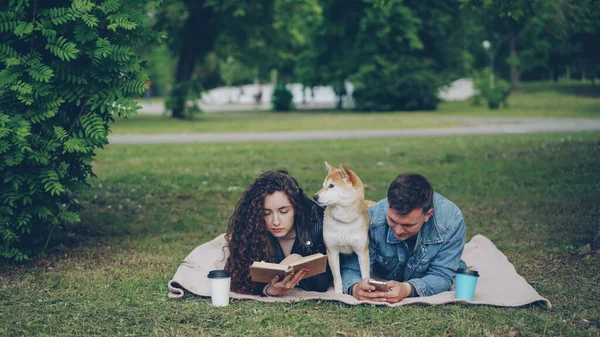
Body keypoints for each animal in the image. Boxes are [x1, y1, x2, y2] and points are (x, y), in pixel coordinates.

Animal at [312, 162, 372, 292]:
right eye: (323, 186)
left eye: (331, 186)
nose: (315, 196)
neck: (344, 221)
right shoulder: (332, 251)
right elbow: (337, 278)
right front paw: (338, 294)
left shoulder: (362, 252)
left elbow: (365, 275)